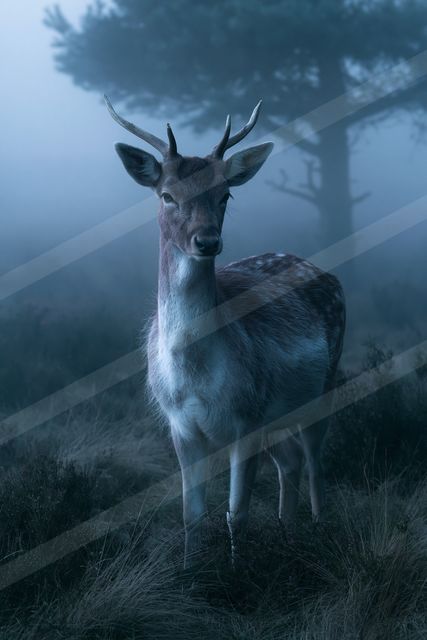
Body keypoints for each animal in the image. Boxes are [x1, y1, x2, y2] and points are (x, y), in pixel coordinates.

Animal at [105, 96, 346, 569]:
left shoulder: (245, 416)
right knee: (291, 460)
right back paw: (288, 536)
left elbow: (238, 511)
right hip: (277, 413)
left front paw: (238, 574)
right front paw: (191, 572)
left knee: (315, 462)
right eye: (167, 195)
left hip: (325, 384)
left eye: (225, 194)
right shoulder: (180, 425)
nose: (207, 241)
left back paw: (319, 533)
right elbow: (191, 513)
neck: (196, 375)